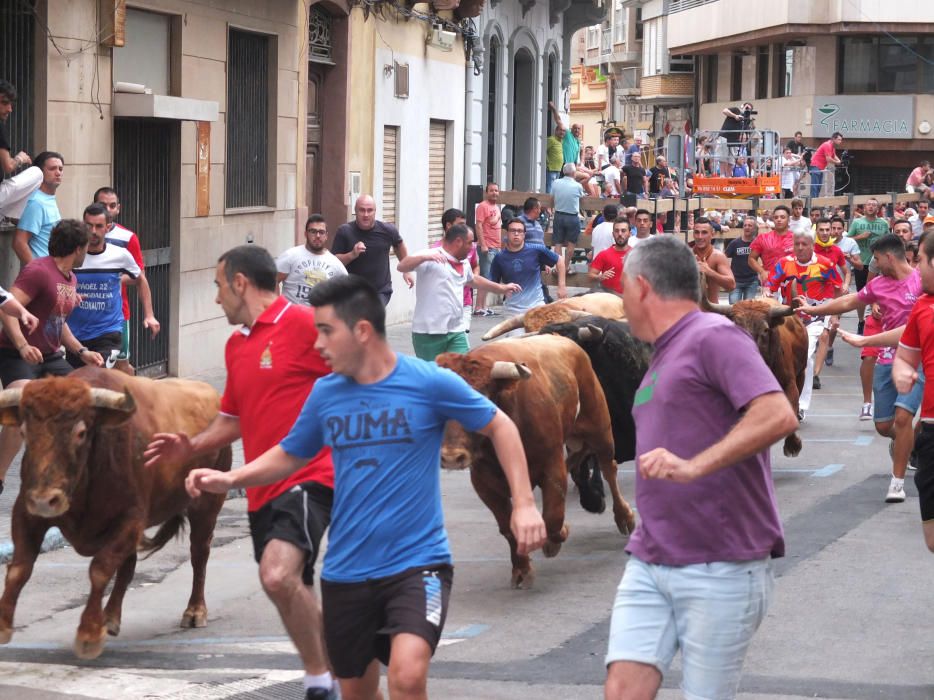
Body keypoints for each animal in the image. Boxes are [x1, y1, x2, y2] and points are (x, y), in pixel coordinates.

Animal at [0, 370, 232, 660]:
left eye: (80, 432)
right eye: (23, 432)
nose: (44, 500)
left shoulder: (131, 519)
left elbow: (100, 570)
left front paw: (88, 634)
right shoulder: (26, 512)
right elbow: (19, 568)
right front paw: (2, 626)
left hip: (207, 505)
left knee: (199, 554)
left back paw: (195, 611)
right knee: (129, 566)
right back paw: (110, 617)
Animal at [438, 336, 636, 588]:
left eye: (481, 398)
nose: (452, 456)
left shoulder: (551, 466)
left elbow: (552, 517)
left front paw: (556, 538)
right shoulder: (483, 482)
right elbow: (507, 526)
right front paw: (521, 568)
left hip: (599, 427)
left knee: (608, 468)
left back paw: (624, 517)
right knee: (579, 457)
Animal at [704, 298, 808, 456]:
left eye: (765, 330)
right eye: (735, 327)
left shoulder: (789, 384)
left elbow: (792, 405)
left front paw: (793, 445)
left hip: (801, 373)